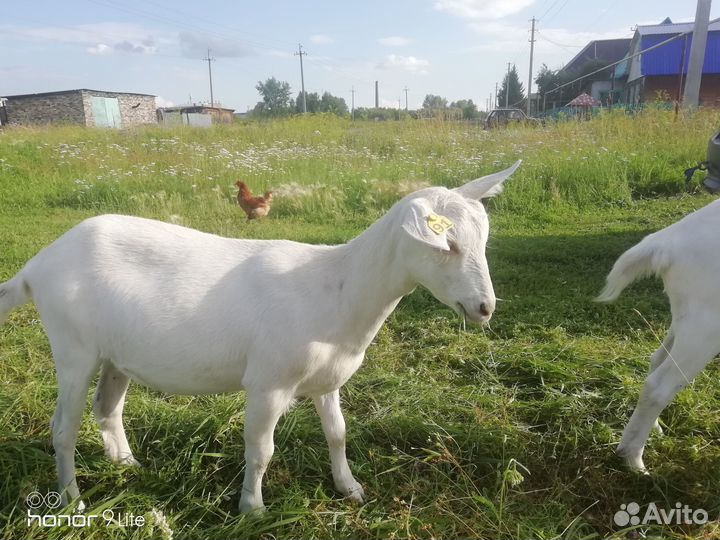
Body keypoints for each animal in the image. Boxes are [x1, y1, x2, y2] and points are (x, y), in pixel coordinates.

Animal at [0, 161, 520, 513]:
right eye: (446, 244)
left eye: (482, 241)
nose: (485, 308)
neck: (338, 287)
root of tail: (36, 266)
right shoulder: (269, 381)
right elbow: (262, 449)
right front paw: (252, 508)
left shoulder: (326, 380)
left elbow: (338, 434)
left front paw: (349, 488)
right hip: (73, 347)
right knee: (63, 428)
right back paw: (72, 499)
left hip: (116, 354)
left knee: (106, 408)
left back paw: (127, 465)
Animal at [597, 198, 720, 472]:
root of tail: (667, 240)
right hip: (707, 325)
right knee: (659, 386)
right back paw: (633, 460)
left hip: (685, 317)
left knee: (657, 359)